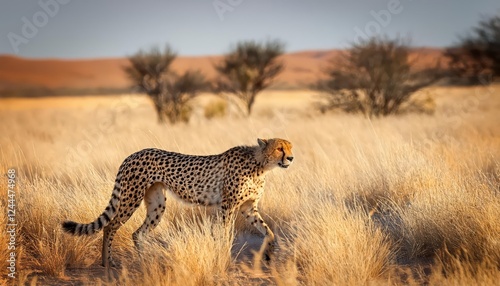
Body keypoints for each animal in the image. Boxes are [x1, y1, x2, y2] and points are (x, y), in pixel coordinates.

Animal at [62, 138, 292, 270]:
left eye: (290, 147)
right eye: (279, 148)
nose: (291, 158)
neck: (260, 164)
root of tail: (133, 154)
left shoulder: (248, 208)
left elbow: (268, 230)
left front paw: (270, 254)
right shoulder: (227, 206)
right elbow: (225, 234)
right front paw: (225, 257)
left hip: (157, 204)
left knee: (138, 233)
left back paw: (145, 260)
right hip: (131, 197)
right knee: (110, 226)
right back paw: (107, 263)